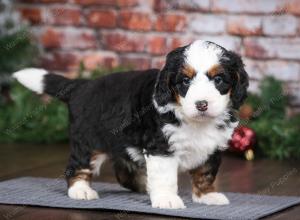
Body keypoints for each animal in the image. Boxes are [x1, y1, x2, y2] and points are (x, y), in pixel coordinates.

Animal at [13, 40, 248, 210]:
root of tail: (82, 86)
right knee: (77, 166)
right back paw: (80, 190)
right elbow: (165, 176)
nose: (201, 104)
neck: (194, 121)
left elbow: (205, 173)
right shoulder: (160, 147)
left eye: (218, 79)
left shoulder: (212, 147)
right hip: (87, 140)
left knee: (124, 172)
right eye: (185, 81)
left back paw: (145, 185)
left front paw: (208, 195)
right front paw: (166, 198)